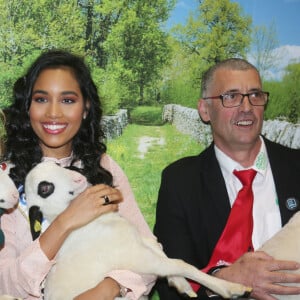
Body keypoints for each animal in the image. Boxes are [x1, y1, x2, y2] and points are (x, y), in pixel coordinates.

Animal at [25, 162, 251, 300]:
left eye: (57, 164)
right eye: (45, 188)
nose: (78, 178)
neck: (92, 223)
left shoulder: (140, 244)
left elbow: (160, 248)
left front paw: (182, 285)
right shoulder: (137, 257)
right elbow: (181, 264)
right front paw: (231, 288)